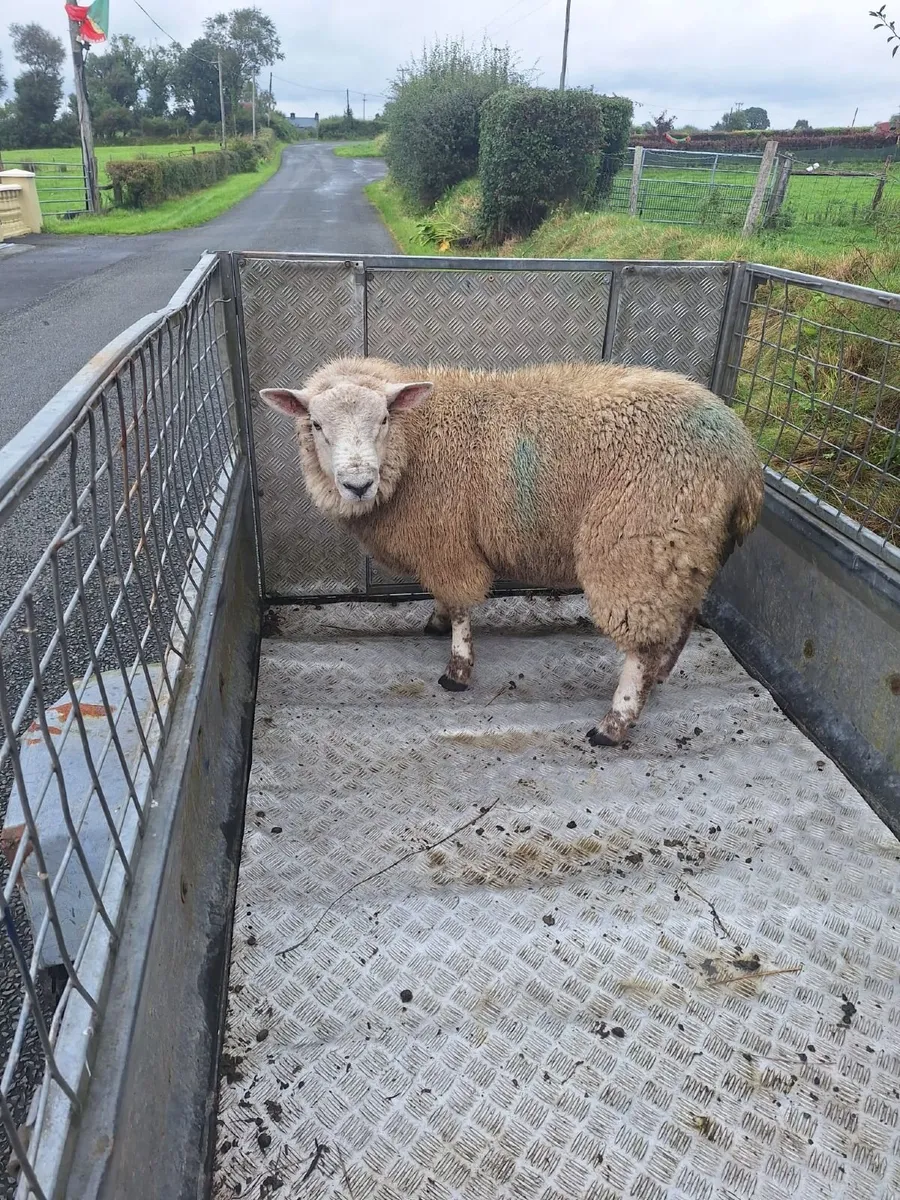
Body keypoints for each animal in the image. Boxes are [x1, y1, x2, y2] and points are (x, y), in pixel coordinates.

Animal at [261, 357, 764, 746]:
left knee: (641, 643)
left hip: (638, 544)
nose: (358, 484)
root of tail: (744, 457)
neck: (417, 441)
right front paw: (436, 621)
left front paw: (457, 669)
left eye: (384, 419)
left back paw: (616, 720)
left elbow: (461, 607)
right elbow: (444, 599)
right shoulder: (439, 544)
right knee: (683, 618)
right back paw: (658, 678)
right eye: (316, 425)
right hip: (684, 551)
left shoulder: (447, 541)